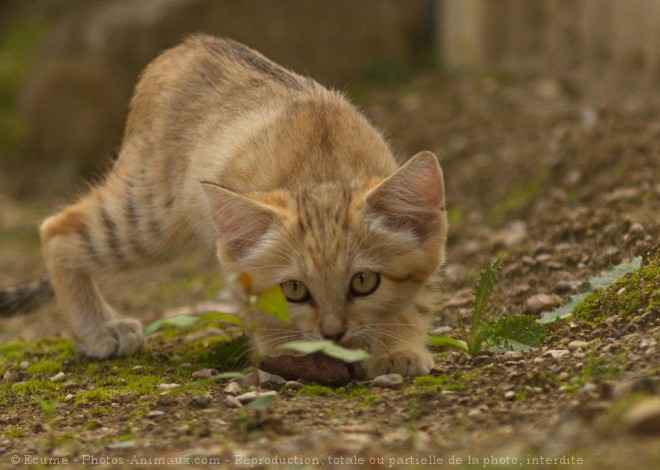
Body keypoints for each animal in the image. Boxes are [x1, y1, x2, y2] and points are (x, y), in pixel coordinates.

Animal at [10, 35, 446, 376]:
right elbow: (264, 316)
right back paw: (99, 328)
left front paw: (399, 348)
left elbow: (413, 303)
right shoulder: (239, 261)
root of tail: (186, 47)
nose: (332, 333)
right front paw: (291, 356)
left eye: (364, 281)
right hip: (152, 217)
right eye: (294, 290)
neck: (324, 168)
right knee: (57, 229)